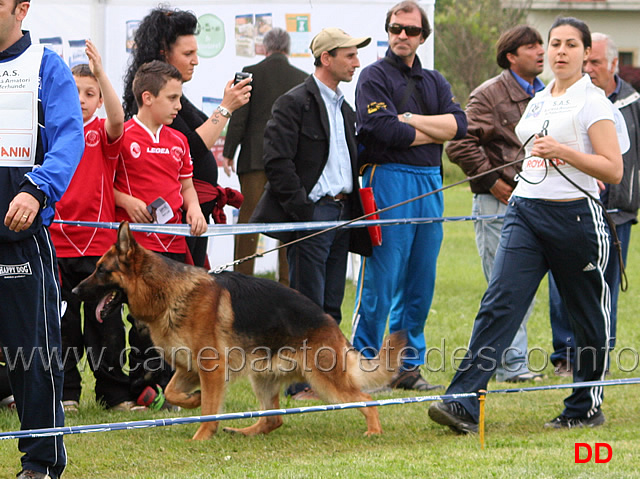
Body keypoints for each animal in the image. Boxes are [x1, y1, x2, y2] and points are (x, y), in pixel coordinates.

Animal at [72, 223, 402, 440]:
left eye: (100, 270)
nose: (73, 291)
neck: (167, 293)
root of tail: (330, 323)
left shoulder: (211, 369)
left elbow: (208, 406)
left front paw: (202, 434)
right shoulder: (188, 368)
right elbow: (173, 392)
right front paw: (193, 401)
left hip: (323, 380)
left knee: (367, 399)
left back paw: (374, 430)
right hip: (263, 378)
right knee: (274, 420)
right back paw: (243, 429)